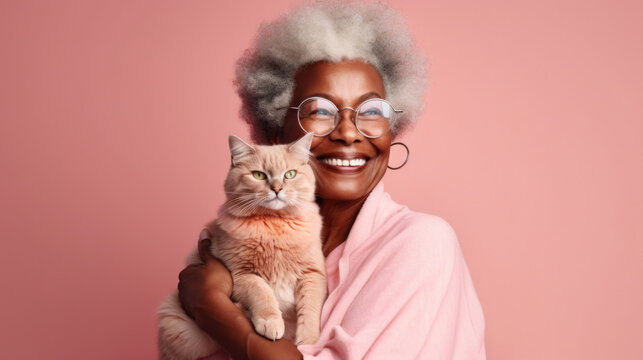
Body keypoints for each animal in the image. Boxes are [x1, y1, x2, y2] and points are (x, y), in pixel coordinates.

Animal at [157, 134, 328, 360]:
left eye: (290, 174)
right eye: (258, 175)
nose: (276, 189)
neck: (273, 225)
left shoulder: (313, 275)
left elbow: (310, 310)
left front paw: (308, 341)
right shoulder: (242, 274)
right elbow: (262, 293)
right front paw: (271, 322)